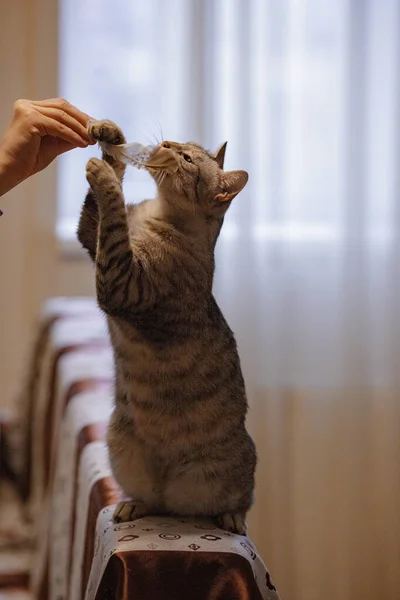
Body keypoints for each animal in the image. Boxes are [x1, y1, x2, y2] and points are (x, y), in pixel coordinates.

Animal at [78, 119, 256, 532]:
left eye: (187, 158)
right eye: (182, 144)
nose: (169, 143)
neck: (157, 213)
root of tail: (177, 505)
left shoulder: (122, 282)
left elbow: (112, 214)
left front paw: (104, 173)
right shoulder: (91, 242)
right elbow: (100, 215)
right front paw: (110, 138)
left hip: (235, 469)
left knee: (241, 499)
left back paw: (231, 516)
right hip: (121, 447)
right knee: (153, 500)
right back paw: (134, 505)